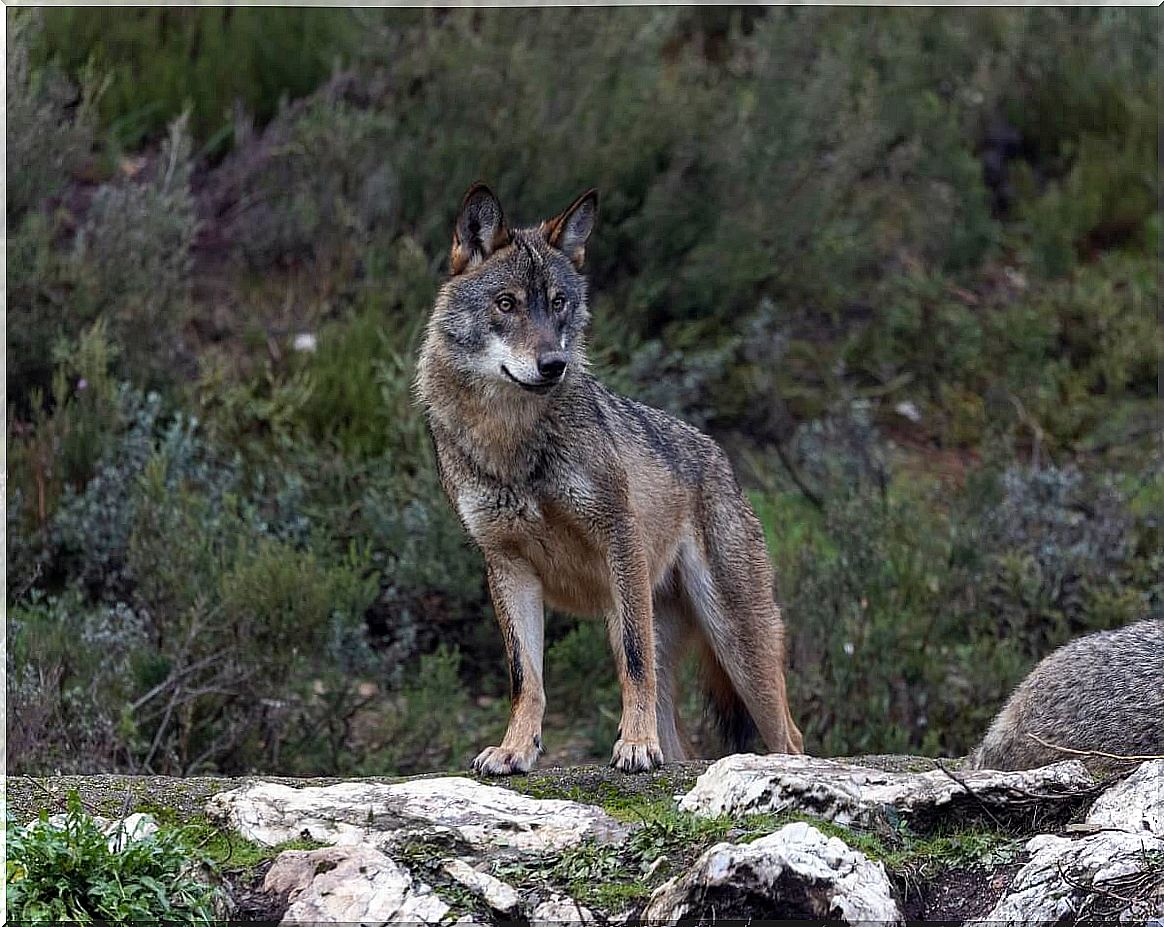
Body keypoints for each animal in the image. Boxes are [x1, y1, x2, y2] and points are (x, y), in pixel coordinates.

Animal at [414, 182, 805, 773]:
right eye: (506, 303)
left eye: (558, 303)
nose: (553, 364)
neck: (511, 440)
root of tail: (719, 456)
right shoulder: (506, 565)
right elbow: (525, 678)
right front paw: (515, 749)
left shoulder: (619, 538)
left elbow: (635, 667)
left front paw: (635, 743)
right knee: (683, 745)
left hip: (736, 644)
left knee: (790, 737)